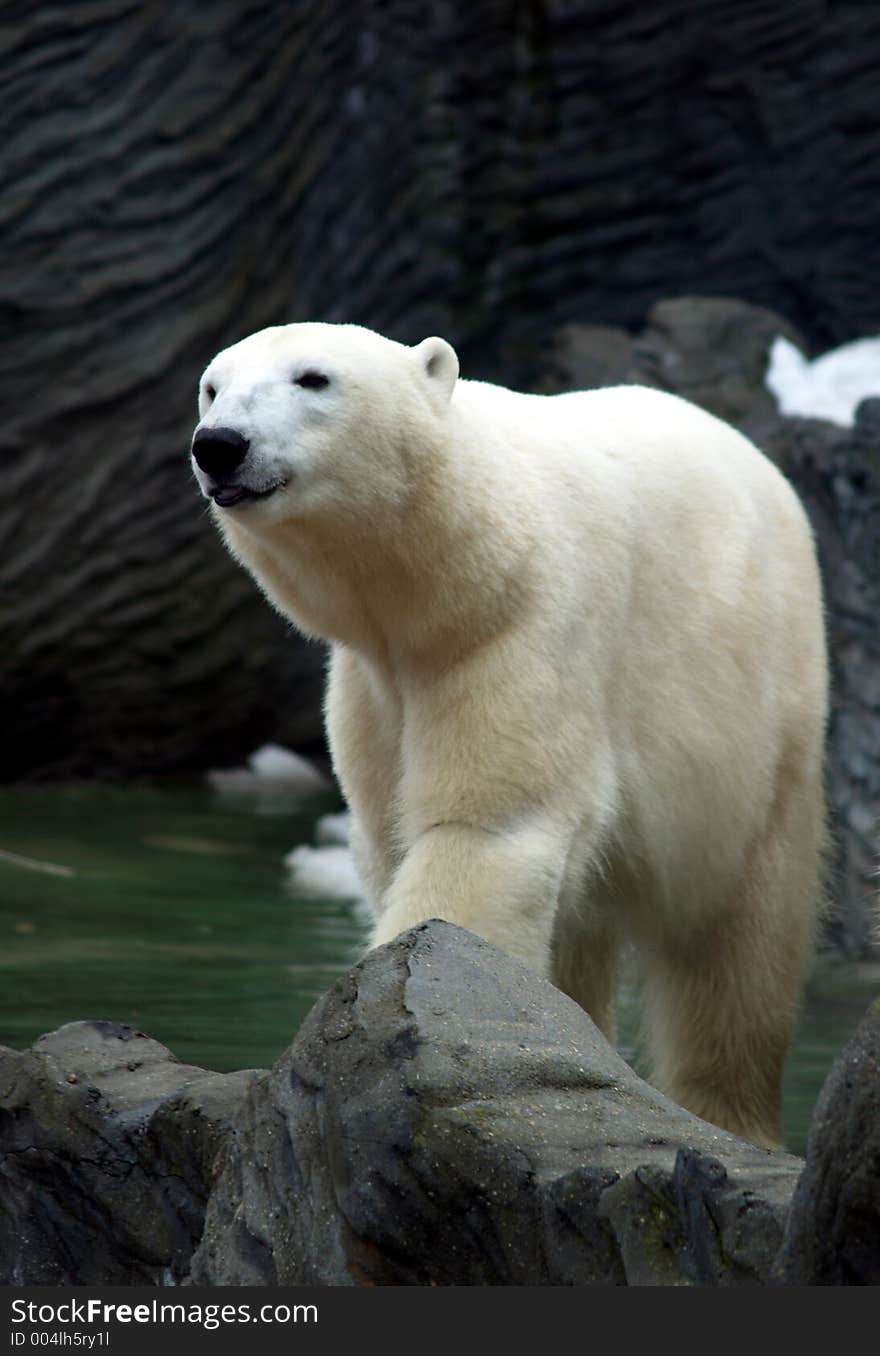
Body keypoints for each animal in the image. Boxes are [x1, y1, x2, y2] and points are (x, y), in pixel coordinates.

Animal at [188, 322, 829, 1149]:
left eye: (313, 378)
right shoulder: (374, 687)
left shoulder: (523, 626)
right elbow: (396, 836)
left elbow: (487, 829)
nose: (219, 445)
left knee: (736, 945)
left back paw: (728, 1119)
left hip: (758, 719)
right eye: (212, 387)